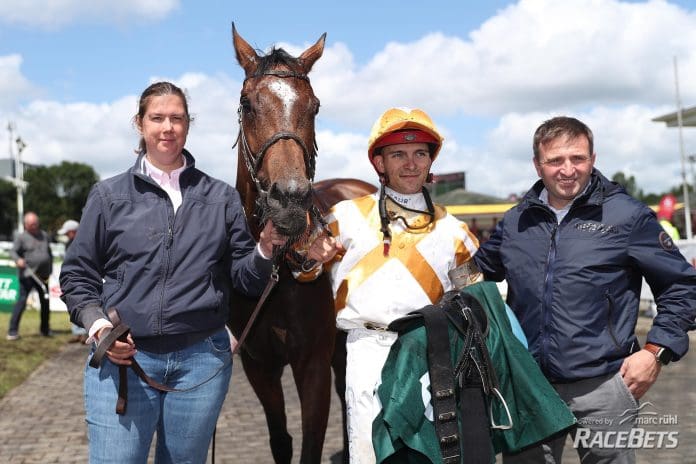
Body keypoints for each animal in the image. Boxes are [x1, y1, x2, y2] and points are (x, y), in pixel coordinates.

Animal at [227, 25, 380, 464]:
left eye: (314, 107)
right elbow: (281, 440)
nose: (290, 199)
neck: (278, 279)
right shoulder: (258, 365)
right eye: (247, 103)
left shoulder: (311, 363)